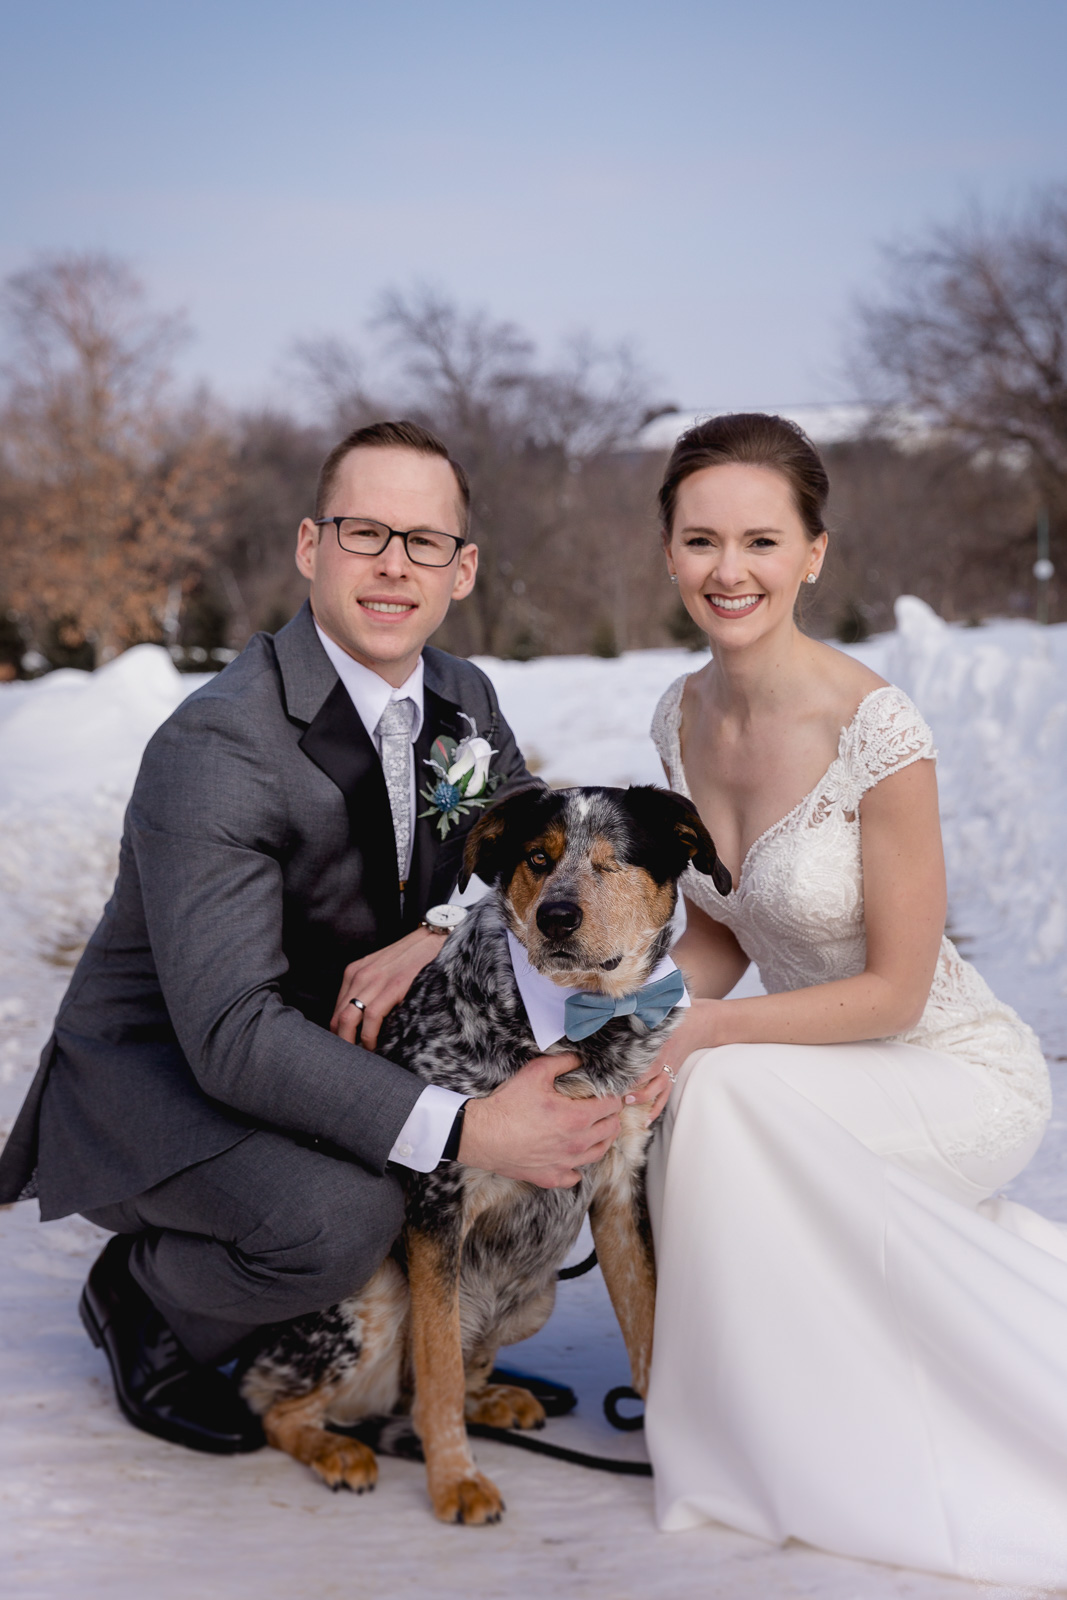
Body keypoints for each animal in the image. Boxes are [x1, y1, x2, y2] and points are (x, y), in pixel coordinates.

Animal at [239, 784, 735, 1523]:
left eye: (614, 860)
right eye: (537, 858)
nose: (557, 915)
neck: (582, 1029)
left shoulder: (620, 1191)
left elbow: (647, 1334)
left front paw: (668, 1460)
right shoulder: (438, 1207)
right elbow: (439, 1369)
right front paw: (455, 1481)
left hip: (533, 1298)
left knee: (445, 1380)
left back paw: (498, 1400)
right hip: (374, 1299)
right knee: (280, 1403)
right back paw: (340, 1451)